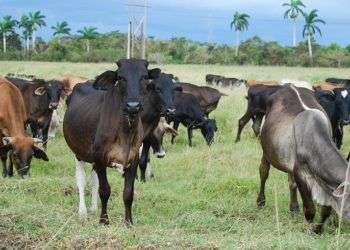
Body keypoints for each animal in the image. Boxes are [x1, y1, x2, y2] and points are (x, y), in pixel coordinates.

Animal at [258, 84, 350, 234]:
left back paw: (294, 207)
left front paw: (318, 228)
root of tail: (289, 85)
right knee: (263, 172)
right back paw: (260, 201)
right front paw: (310, 228)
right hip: (266, 151)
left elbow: (326, 209)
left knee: (291, 183)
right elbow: (310, 208)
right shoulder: (301, 174)